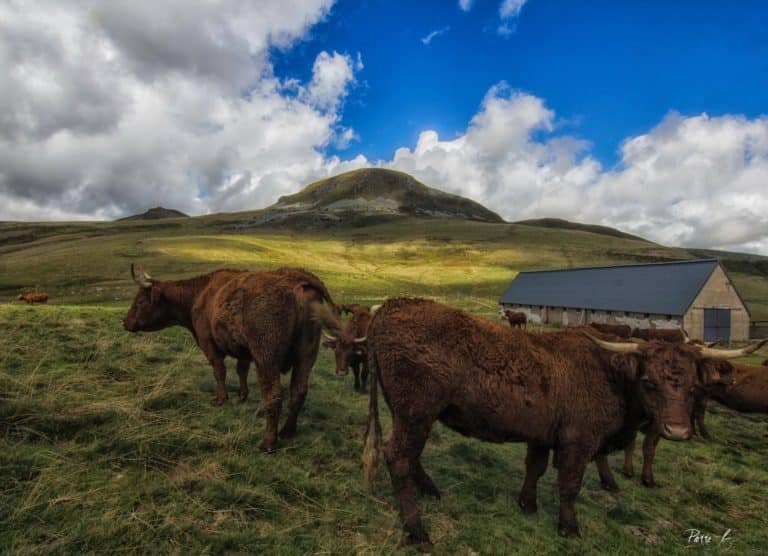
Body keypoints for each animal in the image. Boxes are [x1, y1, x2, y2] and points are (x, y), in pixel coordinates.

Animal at [123, 264, 332, 452]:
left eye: (140, 302)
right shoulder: (244, 351)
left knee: (274, 396)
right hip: (306, 356)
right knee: (299, 391)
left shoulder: (210, 345)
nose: (125, 322)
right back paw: (287, 431)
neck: (200, 295)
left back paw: (268, 442)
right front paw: (242, 396)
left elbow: (219, 372)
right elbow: (241, 371)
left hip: (266, 357)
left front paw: (221, 399)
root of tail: (294, 277)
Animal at [314, 300, 736, 548]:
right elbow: (569, 486)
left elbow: (535, 468)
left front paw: (527, 504)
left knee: (409, 457)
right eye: (649, 381)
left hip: (411, 414)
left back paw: (431, 491)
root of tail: (392, 307)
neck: (607, 373)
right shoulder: (578, 443)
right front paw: (569, 527)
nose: (678, 431)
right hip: (416, 412)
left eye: (694, 385)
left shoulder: (543, 435)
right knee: (399, 458)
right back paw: (417, 531)